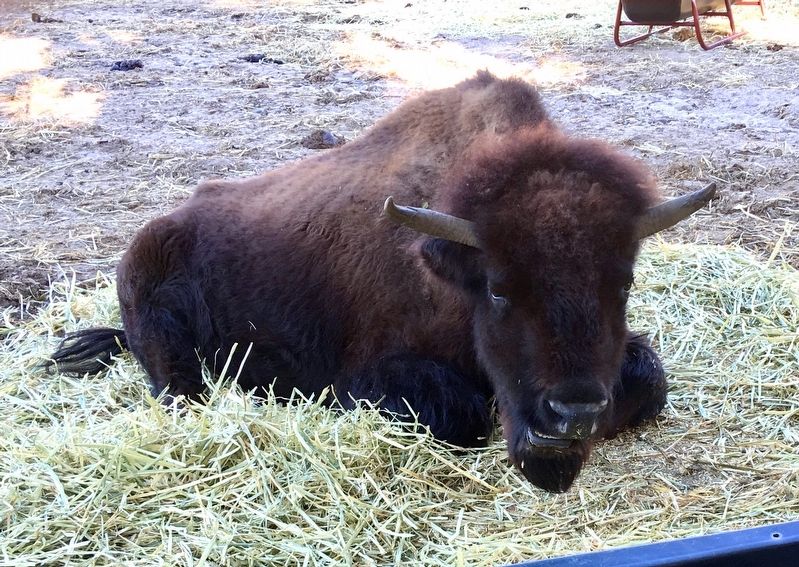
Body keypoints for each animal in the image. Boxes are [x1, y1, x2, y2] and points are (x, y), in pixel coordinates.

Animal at [50, 72, 715, 492]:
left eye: (623, 284)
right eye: (499, 288)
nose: (571, 413)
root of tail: (151, 238)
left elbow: (649, 378)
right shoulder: (372, 374)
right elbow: (456, 411)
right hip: (169, 350)